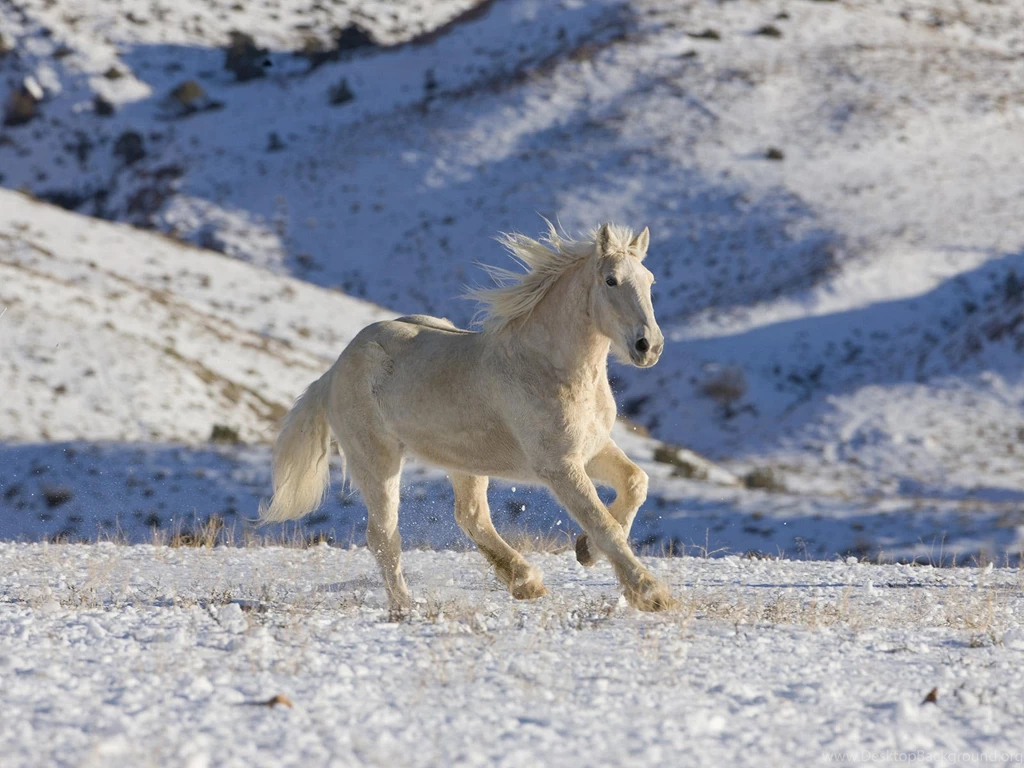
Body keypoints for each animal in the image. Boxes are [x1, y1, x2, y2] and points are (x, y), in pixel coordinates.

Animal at [259, 221, 677, 612]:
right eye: (611, 280)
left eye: (649, 281)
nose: (649, 346)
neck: (547, 366)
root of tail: (333, 370)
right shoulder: (559, 465)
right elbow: (602, 522)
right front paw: (650, 593)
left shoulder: (592, 448)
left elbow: (635, 484)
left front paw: (586, 551)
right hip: (376, 460)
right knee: (383, 535)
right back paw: (405, 606)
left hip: (464, 461)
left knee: (471, 516)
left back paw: (526, 583)